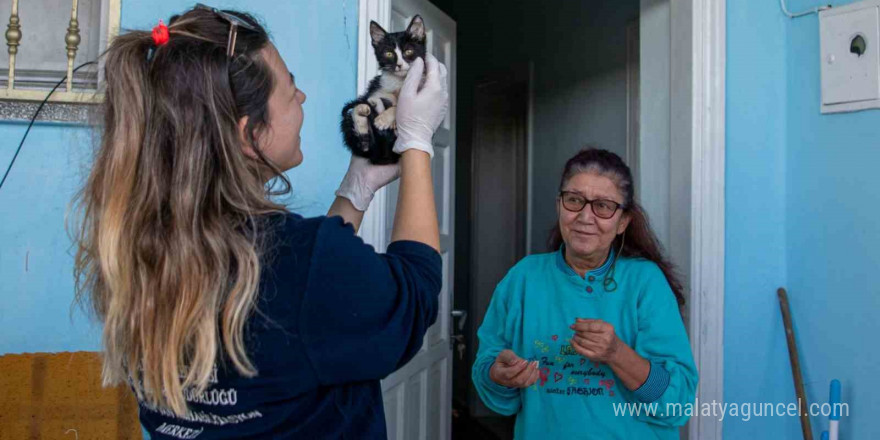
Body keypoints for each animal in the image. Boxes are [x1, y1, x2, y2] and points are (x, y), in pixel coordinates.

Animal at [340, 15, 426, 165]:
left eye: (408, 51)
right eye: (389, 54)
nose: (399, 65)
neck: (399, 81)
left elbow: (399, 106)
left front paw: (384, 120)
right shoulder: (377, 88)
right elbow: (378, 98)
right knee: (360, 137)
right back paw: (362, 116)